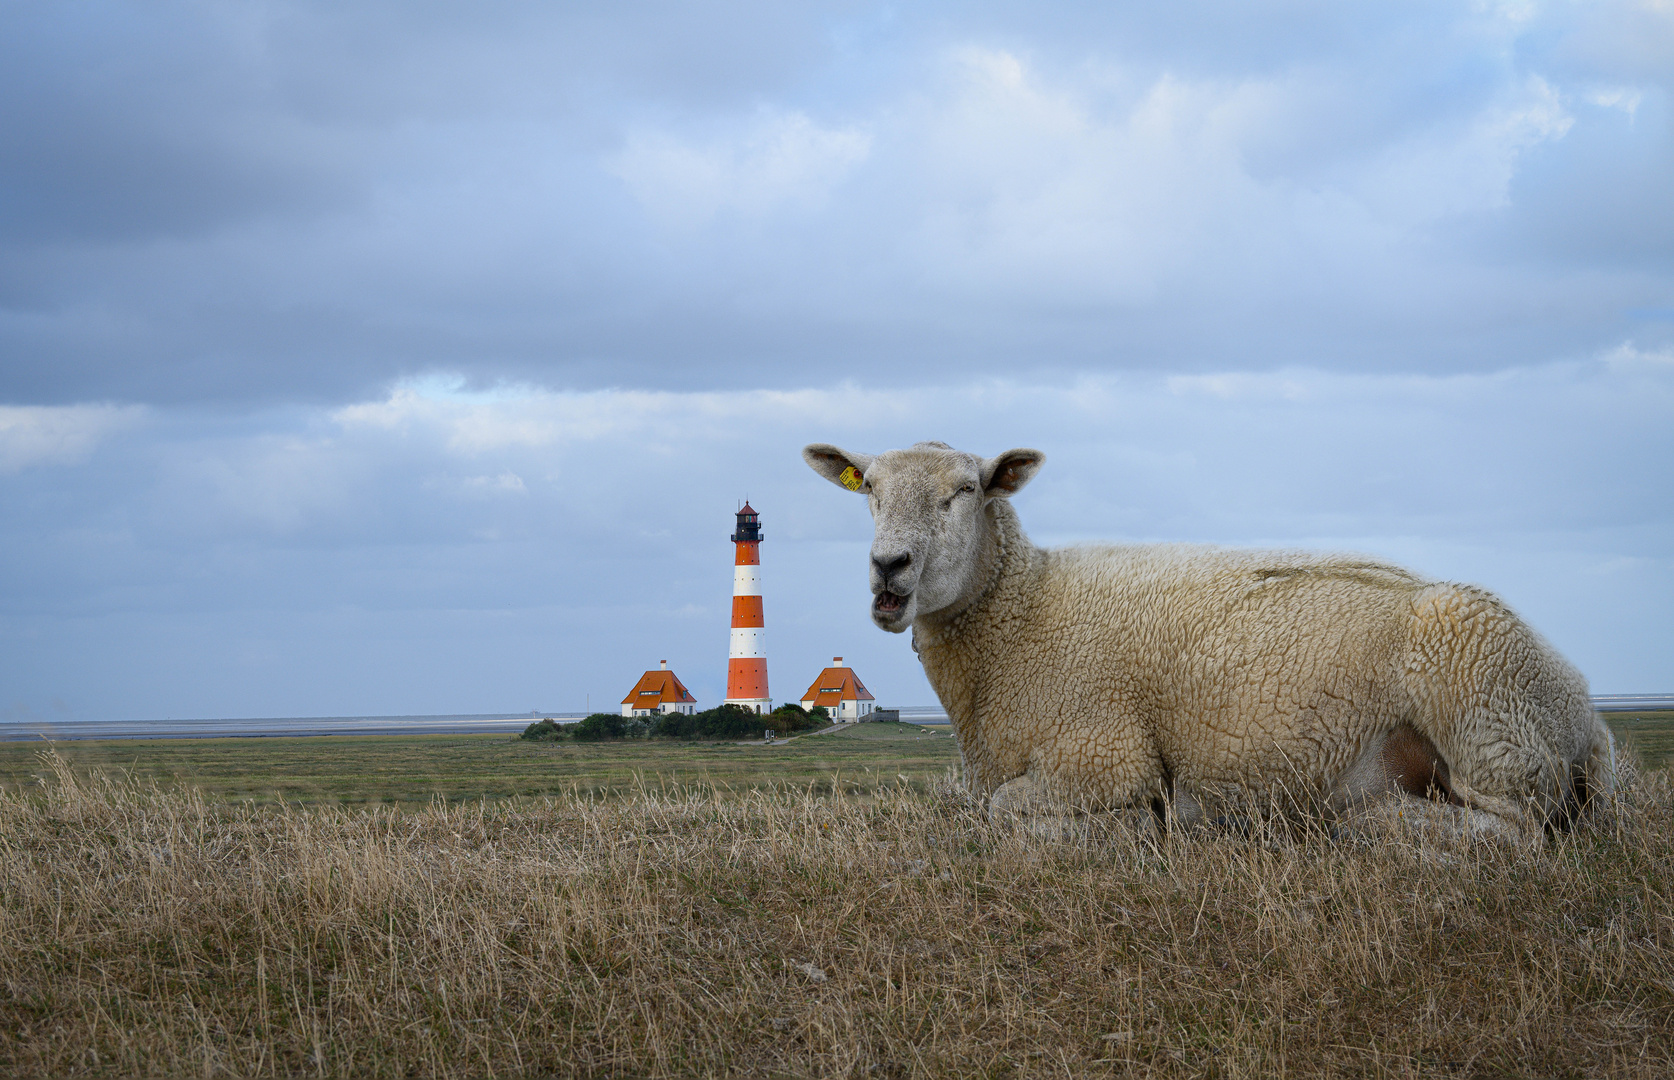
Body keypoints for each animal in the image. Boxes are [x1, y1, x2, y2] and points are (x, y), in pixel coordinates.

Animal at [803, 438, 1613, 843]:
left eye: (966, 490)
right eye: (869, 489)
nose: (889, 567)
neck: (1024, 610)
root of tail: (1584, 707)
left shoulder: (1103, 755)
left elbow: (1005, 812)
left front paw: (1141, 826)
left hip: (1485, 709)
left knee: (1519, 831)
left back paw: (1373, 823)